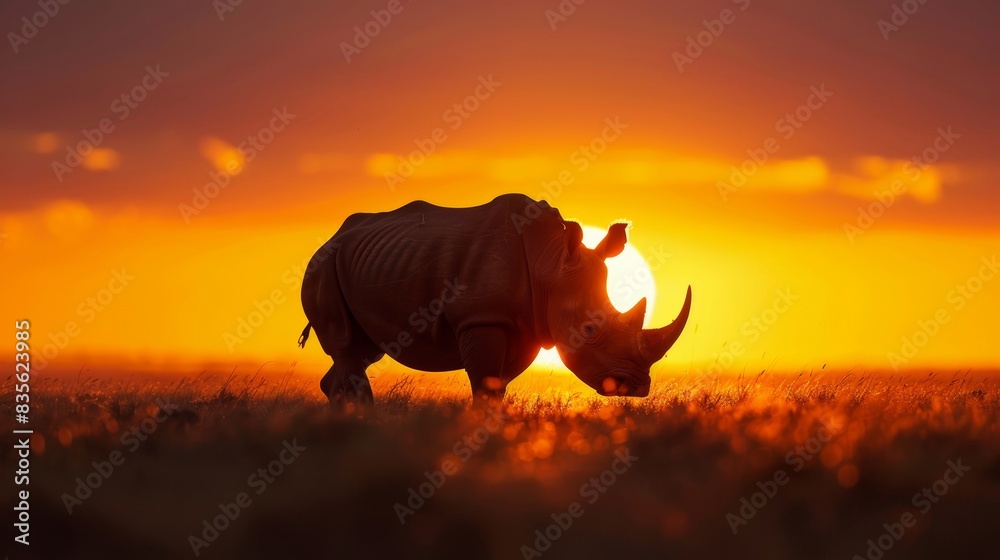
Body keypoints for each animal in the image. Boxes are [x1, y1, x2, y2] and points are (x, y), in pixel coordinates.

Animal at [298, 193, 691, 405]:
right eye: (590, 329)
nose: (636, 386)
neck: (550, 263)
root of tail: (331, 237)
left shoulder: (526, 325)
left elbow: (497, 385)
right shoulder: (481, 316)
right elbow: (485, 384)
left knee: (363, 351)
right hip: (322, 265)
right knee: (348, 348)